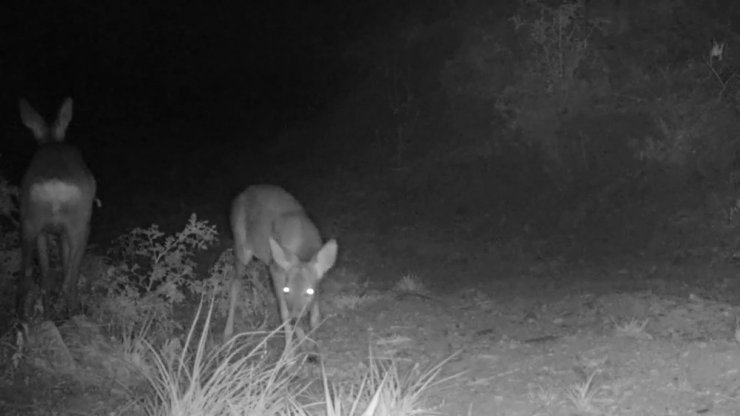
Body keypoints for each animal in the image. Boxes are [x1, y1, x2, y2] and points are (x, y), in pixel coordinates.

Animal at [15, 98, 96, 318]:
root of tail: (55, 186)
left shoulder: (49, 231)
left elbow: (47, 272)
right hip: (80, 224)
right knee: (68, 282)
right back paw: (73, 316)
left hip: (29, 223)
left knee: (30, 278)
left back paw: (33, 318)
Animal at [223, 185, 338, 348]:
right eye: (287, 290)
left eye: (309, 291)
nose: (296, 318)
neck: (303, 248)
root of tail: (241, 194)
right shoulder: (277, 271)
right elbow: (284, 315)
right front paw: (289, 352)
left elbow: (315, 317)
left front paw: (312, 345)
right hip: (241, 247)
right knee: (235, 284)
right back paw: (227, 333)